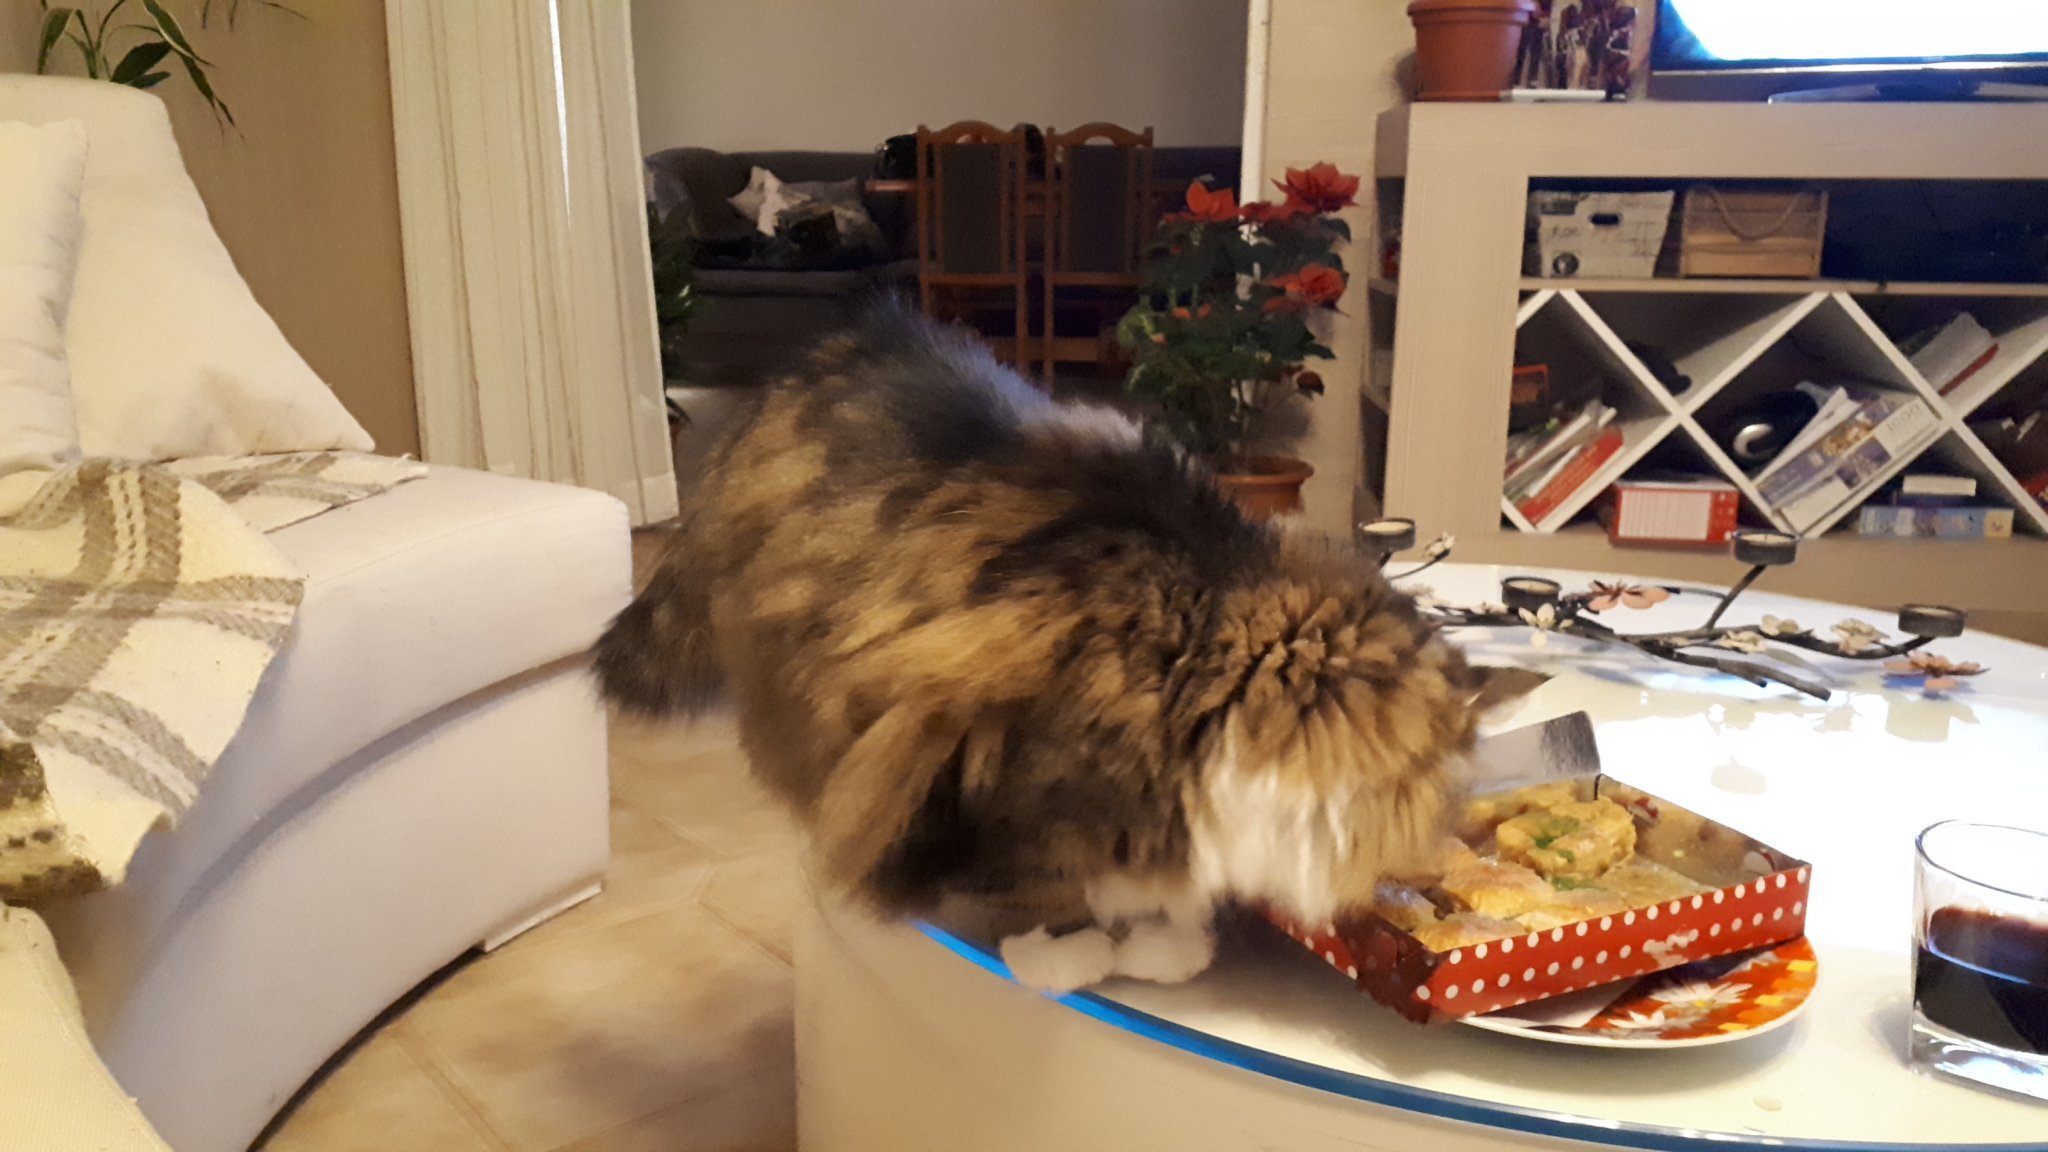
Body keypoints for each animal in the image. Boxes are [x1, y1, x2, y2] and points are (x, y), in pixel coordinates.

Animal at [597, 307, 1536, 992]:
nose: (1426, 864)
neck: (1202, 652)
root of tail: (842, 337)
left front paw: (1165, 938)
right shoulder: (981, 749)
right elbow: (1042, 882)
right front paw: (1072, 955)